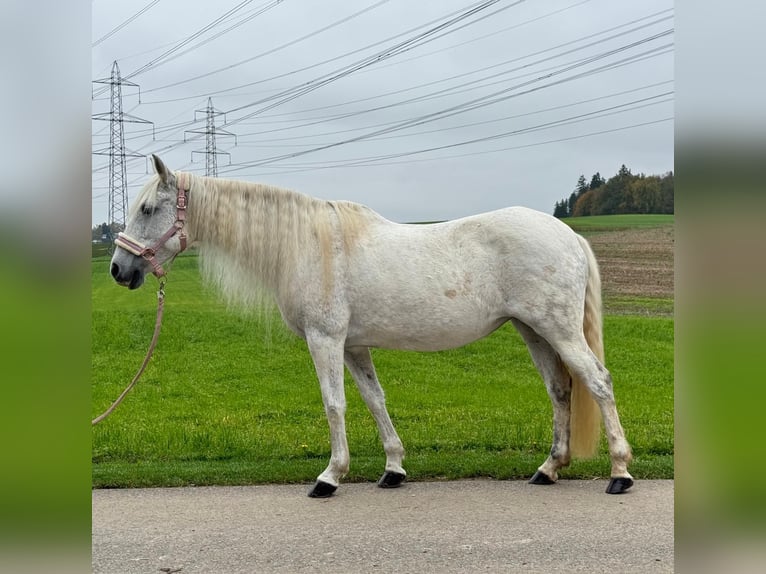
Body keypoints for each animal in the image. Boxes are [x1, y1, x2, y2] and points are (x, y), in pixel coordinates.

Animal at [109, 155, 636, 498]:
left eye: (148, 209)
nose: (118, 269)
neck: (307, 244)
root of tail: (568, 234)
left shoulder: (325, 340)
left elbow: (334, 404)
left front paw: (329, 476)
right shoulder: (353, 346)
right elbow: (373, 399)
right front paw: (393, 469)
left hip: (559, 330)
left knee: (598, 382)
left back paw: (620, 472)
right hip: (534, 331)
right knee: (561, 390)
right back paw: (549, 468)